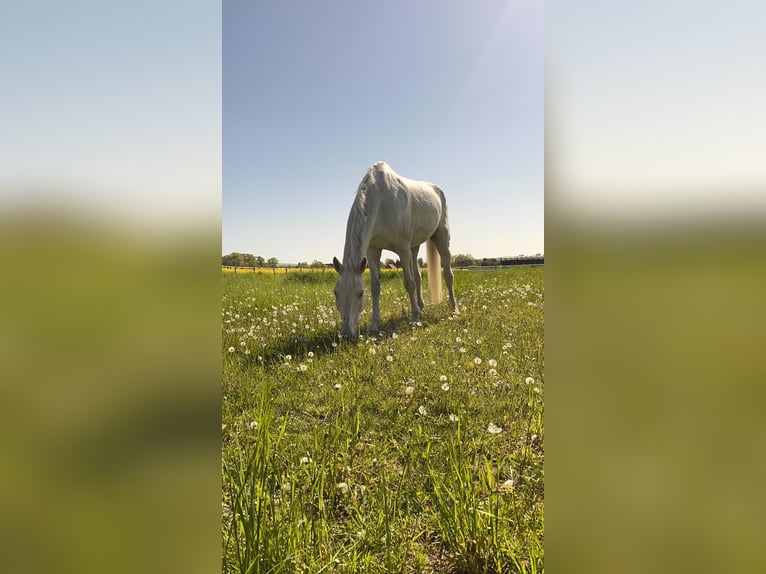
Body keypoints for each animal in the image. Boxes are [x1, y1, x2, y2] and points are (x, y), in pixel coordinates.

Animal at [334, 161, 456, 342]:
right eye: (336, 293)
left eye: (360, 294)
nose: (347, 334)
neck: (382, 200)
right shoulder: (373, 252)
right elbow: (376, 287)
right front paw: (374, 324)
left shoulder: (402, 249)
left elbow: (409, 283)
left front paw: (415, 319)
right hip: (414, 247)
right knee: (418, 276)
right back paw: (422, 306)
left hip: (441, 238)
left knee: (448, 275)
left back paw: (454, 309)